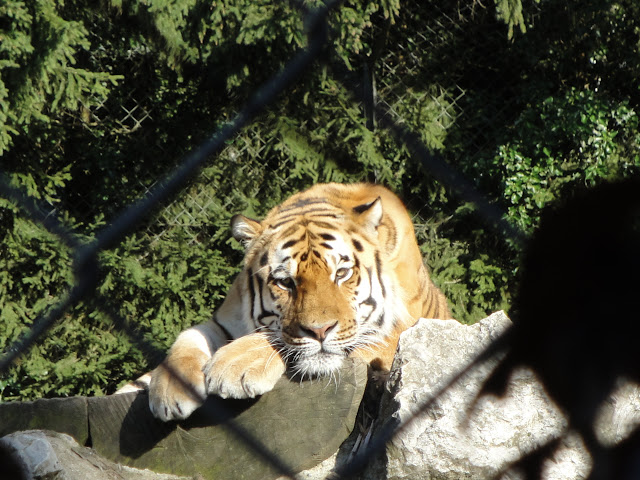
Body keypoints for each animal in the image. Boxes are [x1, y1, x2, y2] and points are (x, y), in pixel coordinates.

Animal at [147, 182, 451, 422]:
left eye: (341, 273)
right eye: (285, 282)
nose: (319, 331)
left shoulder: (406, 326)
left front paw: (235, 364)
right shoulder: (224, 320)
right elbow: (192, 334)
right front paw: (169, 388)